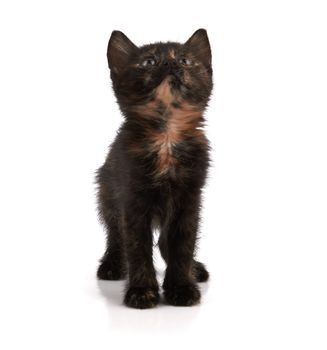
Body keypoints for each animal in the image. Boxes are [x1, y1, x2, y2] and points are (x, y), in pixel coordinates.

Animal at [95, 30, 213, 308]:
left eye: (185, 60)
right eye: (149, 62)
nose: (171, 63)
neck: (166, 135)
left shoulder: (189, 200)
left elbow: (182, 245)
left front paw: (181, 287)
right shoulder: (132, 201)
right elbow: (137, 247)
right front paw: (141, 291)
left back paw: (194, 268)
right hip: (107, 195)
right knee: (115, 236)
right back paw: (111, 264)